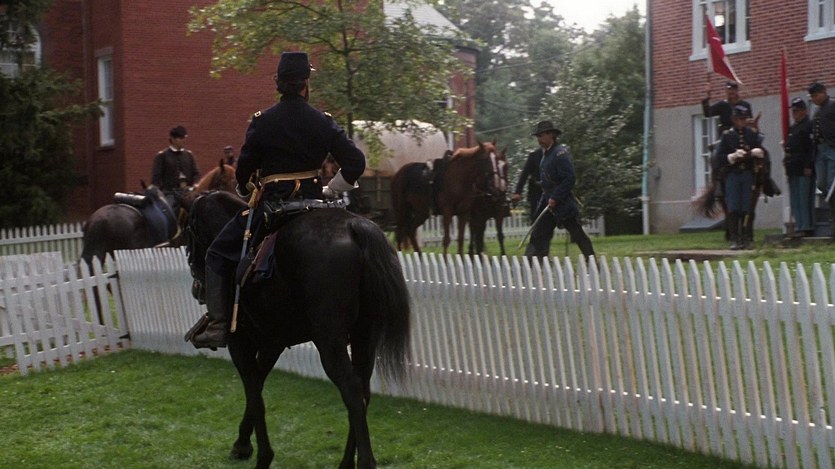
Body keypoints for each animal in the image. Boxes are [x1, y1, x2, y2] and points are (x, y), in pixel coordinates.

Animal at [184, 190, 411, 469]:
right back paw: (347, 462)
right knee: (364, 391)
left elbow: (254, 392)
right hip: (365, 337)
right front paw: (242, 444)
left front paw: (262, 455)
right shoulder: (273, 343)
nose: (197, 288)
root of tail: (355, 227)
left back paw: (364, 462)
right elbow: (257, 386)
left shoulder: (240, 343)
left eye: (189, 233)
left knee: (352, 390)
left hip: (330, 343)